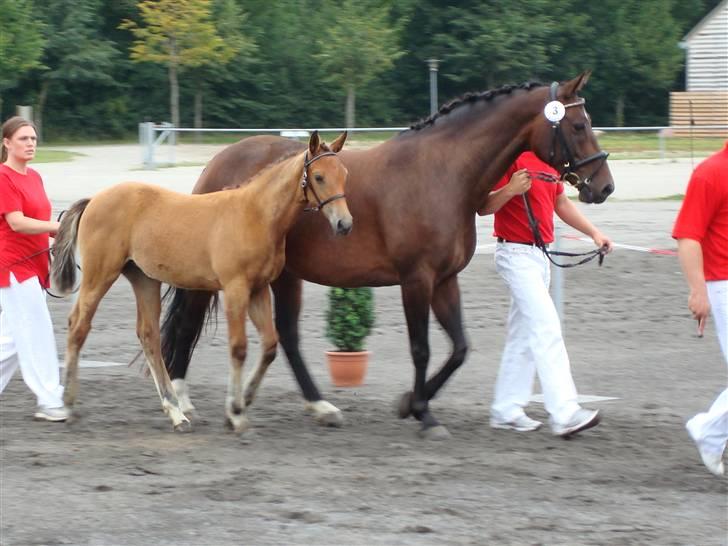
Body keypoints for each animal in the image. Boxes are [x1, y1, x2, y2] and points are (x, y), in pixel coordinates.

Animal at [51, 132, 350, 430]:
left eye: (344, 174)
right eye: (319, 176)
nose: (344, 224)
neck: (255, 214)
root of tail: (94, 199)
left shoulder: (258, 289)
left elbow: (269, 345)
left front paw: (244, 399)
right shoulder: (235, 288)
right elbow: (239, 348)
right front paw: (235, 412)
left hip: (144, 279)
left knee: (149, 335)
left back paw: (175, 412)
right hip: (99, 275)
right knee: (78, 326)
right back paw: (68, 402)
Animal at [161, 73, 616, 438]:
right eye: (578, 124)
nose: (604, 186)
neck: (442, 174)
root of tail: (220, 161)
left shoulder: (445, 281)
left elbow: (459, 348)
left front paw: (410, 404)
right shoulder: (416, 279)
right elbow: (422, 349)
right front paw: (424, 414)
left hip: (286, 276)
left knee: (286, 336)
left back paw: (320, 408)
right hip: (218, 277)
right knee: (186, 326)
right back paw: (183, 402)